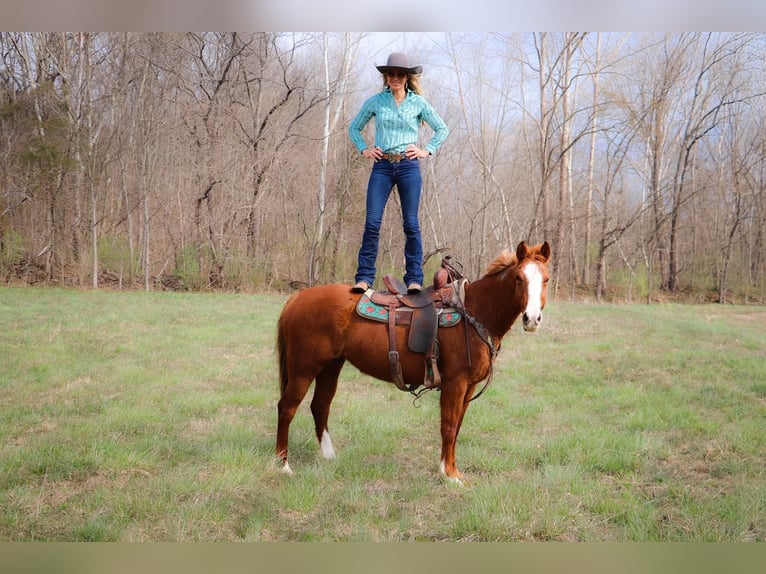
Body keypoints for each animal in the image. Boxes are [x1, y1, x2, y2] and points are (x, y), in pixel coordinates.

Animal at [276, 241, 552, 484]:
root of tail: (297, 298)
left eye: (546, 279)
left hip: (331, 367)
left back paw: (329, 456)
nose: (532, 319)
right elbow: (449, 427)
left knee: (320, 406)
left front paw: (453, 471)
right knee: (287, 408)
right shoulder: (455, 384)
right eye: (518, 278)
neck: (474, 311)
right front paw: (448, 475)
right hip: (303, 369)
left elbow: (457, 427)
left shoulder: (469, 386)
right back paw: (283, 465)